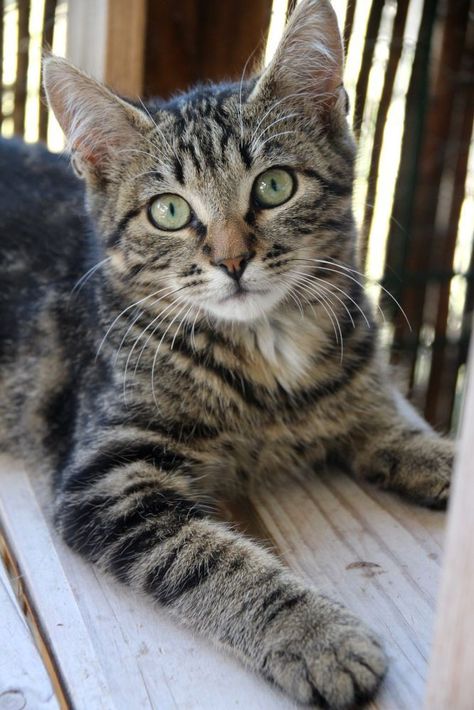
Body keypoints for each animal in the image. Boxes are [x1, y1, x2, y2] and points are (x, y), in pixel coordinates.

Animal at [0, 2, 454, 708]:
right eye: (168, 210)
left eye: (274, 186)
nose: (233, 260)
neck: (266, 353)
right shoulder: (107, 478)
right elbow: (207, 558)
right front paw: (316, 637)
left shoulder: (358, 386)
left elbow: (389, 425)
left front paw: (442, 459)